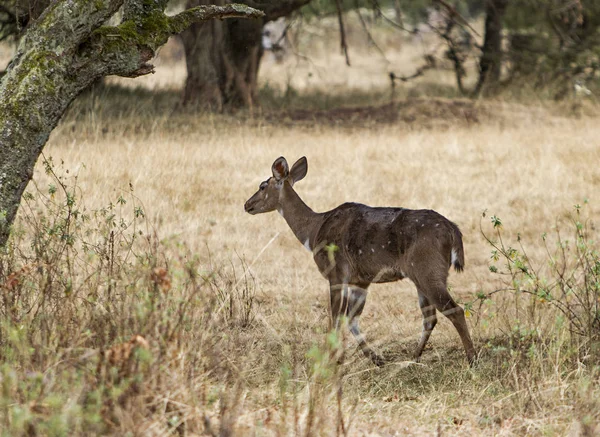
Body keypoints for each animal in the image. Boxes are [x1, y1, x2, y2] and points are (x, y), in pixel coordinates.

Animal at [243, 156, 474, 364]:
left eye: (262, 186)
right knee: (430, 317)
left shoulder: (336, 272)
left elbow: (335, 319)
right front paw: (375, 359)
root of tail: (453, 231)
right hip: (421, 276)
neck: (314, 231)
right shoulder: (360, 280)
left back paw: (471, 359)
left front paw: (330, 359)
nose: (247, 205)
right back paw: (413, 358)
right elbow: (352, 319)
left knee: (454, 310)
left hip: (427, 269)